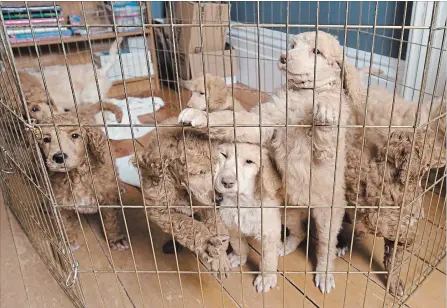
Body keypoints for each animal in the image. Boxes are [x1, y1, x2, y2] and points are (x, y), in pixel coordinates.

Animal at [37, 102, 129, 251]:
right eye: (46, 139)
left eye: (75, 135)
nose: (58, 157)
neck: (76, 175)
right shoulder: (60, 202)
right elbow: (65, 223)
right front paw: (68, 241)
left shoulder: (107, 198)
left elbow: (111, 219)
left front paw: (116, 239)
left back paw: (120, 188)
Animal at [178, 30, 360, 294]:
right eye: (292, 45)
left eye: (316, 51)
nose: (283, 57)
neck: (301, 94)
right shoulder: (262, 122)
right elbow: (231, 119)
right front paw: (197, 115)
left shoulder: (324, 151)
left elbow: (326, 122)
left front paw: (325, 108)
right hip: (288, 212)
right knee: (299, 232)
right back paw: (287, 245)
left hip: (328, 213)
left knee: (326, 244)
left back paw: (325, 273)